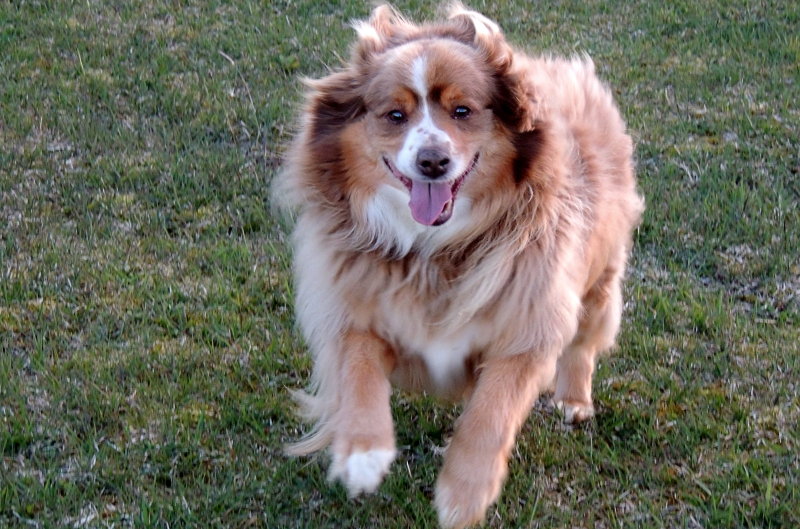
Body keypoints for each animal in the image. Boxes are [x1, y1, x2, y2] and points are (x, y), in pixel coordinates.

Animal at [276, 4, 644, 528]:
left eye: (463, 111)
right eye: (394, 115)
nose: (433, 162)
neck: (436, 249)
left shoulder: (526, 324)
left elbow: (492, 411)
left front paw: (463, 494)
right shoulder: (355, 303)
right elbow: (358, 368)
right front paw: (363, 455)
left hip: (599, 277)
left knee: (584, 340)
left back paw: (574, 400)